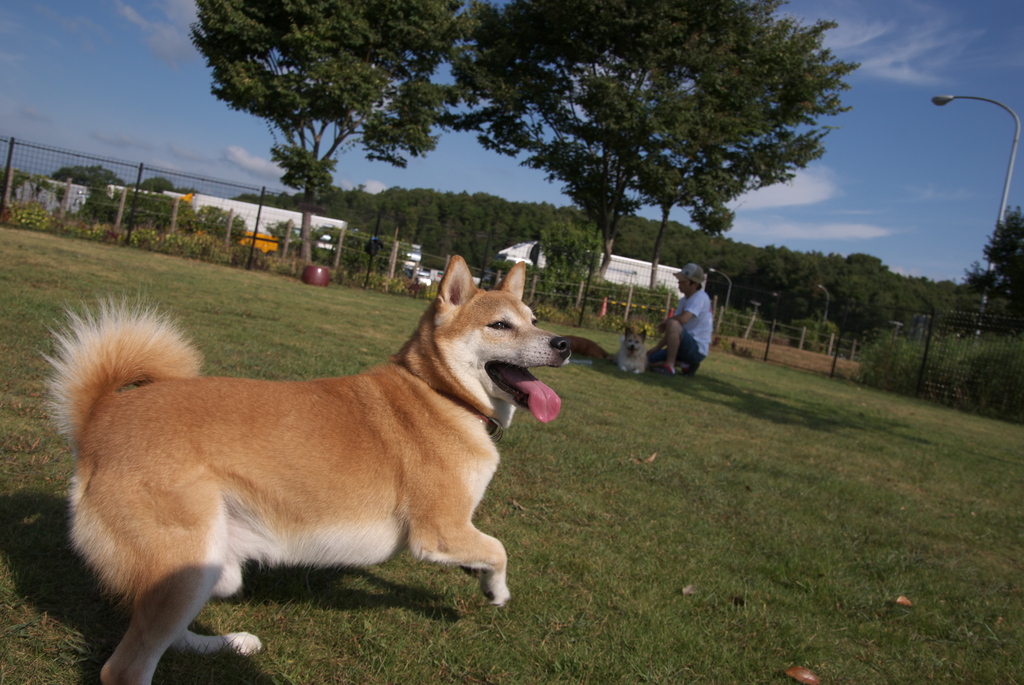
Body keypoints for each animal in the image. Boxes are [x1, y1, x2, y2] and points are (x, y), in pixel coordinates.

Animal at [46, 255, 569, 683]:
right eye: (500, 325)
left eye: (535, 320)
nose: (564, 343)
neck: (440, 393)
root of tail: (101, 415)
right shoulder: (439, 531)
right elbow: (498, 549)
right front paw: (496, 590)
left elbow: (485, 550)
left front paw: (478, 578)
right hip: (183, 566)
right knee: (127, 667)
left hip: (211, 569)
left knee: (171, 638)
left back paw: (228, 645)